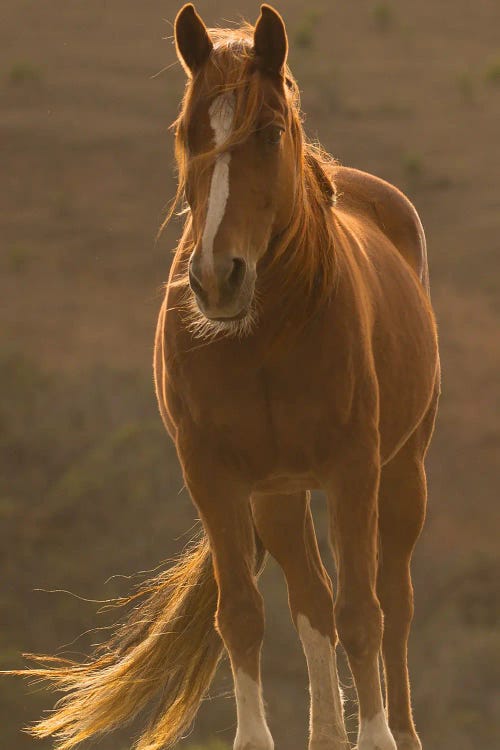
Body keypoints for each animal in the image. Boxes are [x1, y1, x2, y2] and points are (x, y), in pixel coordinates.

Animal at [12, 5, 438, 750]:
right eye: (186, 133)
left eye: (268, 132)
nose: (217, 279)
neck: (262, 343)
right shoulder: (213, 474)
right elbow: (244, 614)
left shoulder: (353, 469)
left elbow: (363, 613)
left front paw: (378, 736)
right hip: (278, 494)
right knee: (311, 601)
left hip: (401, 469)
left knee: (392, 599)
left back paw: (400, 730)